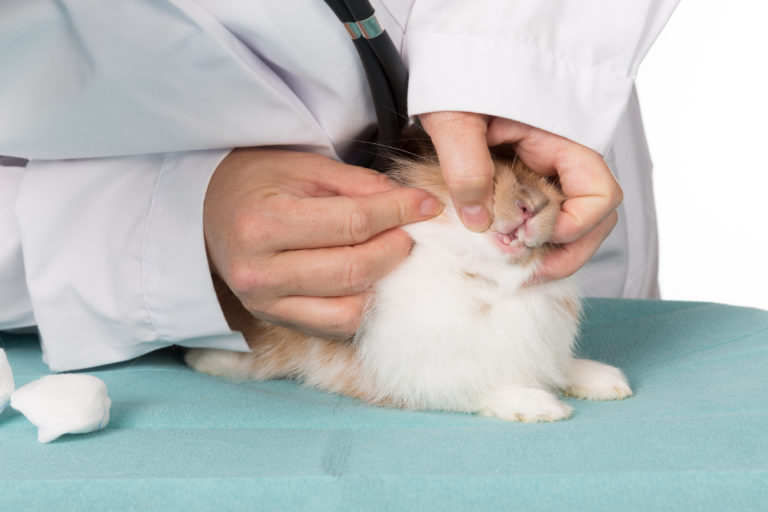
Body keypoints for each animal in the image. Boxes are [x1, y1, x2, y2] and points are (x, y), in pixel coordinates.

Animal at [184, 134, 632, 422]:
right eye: (490, 173)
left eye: (553, 182)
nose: (531, 205)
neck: (484, 279)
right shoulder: (419, 367)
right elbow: (472, 385)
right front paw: (540, 407)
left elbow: (558, 366)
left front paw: (606, 381)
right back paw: (208, 358)